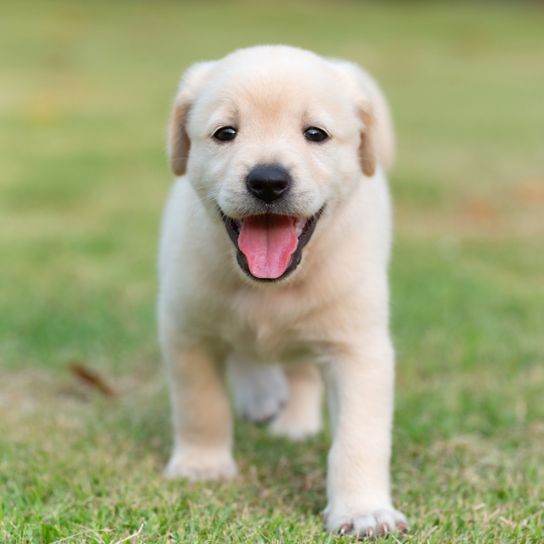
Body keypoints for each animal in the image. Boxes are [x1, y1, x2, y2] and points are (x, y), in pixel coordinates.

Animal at [158, 45, 408, 536]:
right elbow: (201, 405)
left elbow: (360, 437)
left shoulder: (358, 348)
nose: (268, 180)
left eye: (315, 134)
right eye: (225, 133)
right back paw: (261, 396)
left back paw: (294, 422)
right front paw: (202, 465)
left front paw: (362, 510)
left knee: (302, 370)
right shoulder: (188, 331)